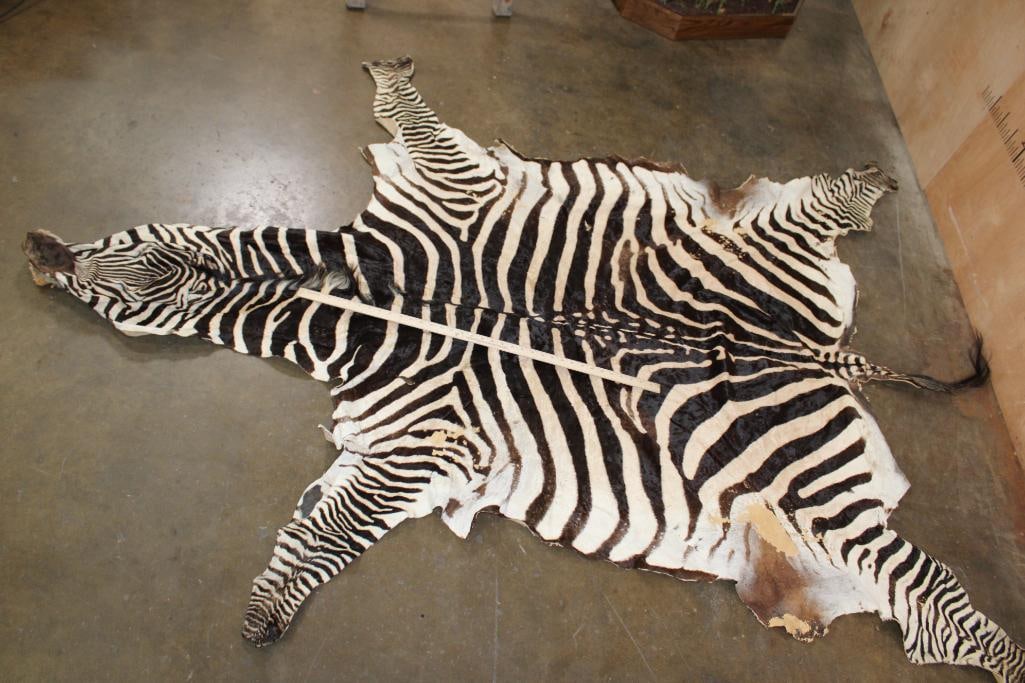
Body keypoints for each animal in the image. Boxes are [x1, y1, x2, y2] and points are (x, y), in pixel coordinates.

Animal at [22, 56, 1021, 680]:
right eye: (123, 240)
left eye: (125, 268)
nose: (37, 250)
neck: (374, 306)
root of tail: (808, 350)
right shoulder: (388, 451)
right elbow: (313, 531)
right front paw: (268, 610)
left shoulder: (446, 220)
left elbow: (411, 119)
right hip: (771, 315)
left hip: (814, 486)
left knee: (933, 600)